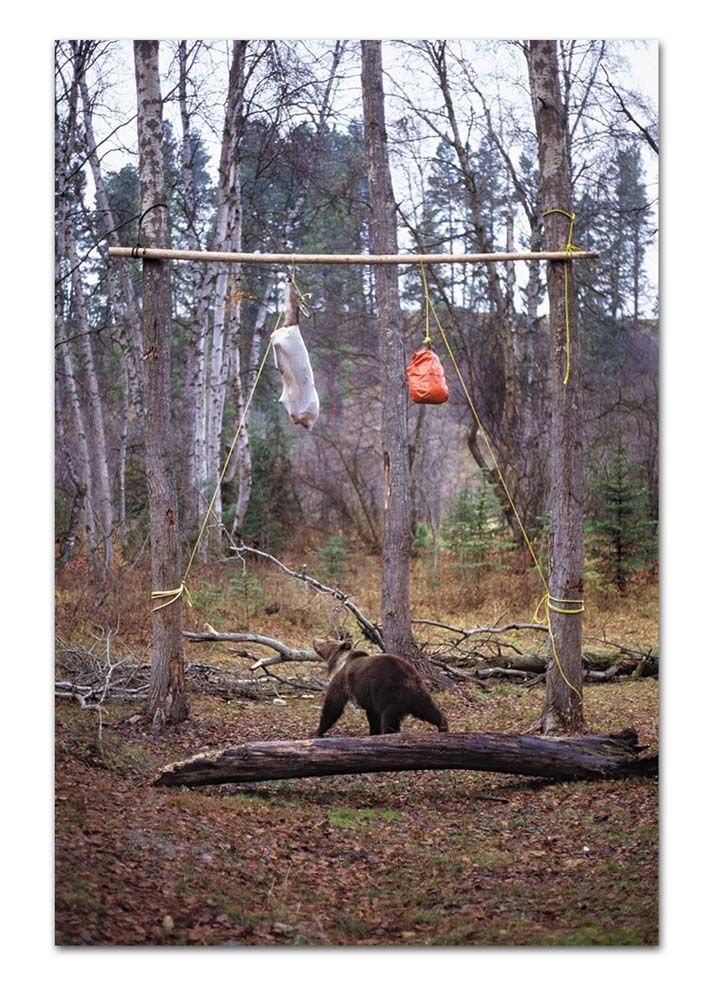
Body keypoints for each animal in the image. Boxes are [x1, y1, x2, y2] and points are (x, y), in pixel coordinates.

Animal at [311, 637, 448, 737]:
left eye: (327, 640)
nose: (314, 640)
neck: (340, 663)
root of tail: (409, 680)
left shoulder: (343, 681)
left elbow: (333, 705)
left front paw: (317, 731)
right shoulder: (369, 699)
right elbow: (372, 716)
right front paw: (373, 733)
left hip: (389, 694)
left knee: (389, 720)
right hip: (420, 692)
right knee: (430, 711)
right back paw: (443, 727)